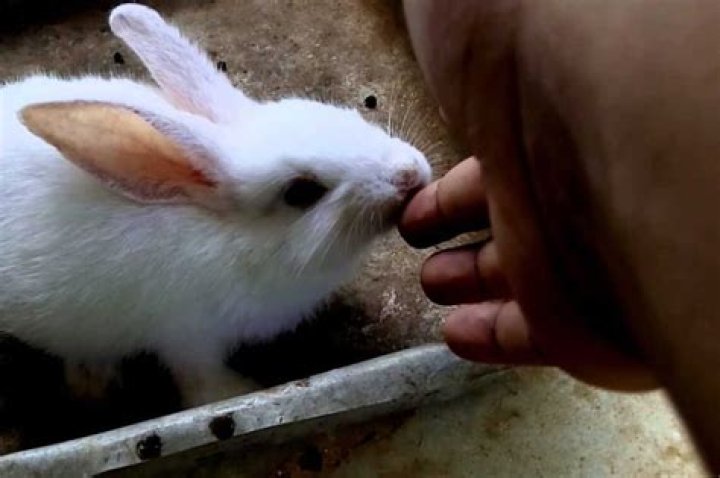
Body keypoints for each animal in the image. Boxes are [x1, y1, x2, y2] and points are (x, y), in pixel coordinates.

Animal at [0, 4, 432, 407]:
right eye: (301, 193)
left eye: (348, 113)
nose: (410, 173)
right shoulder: (188, 336)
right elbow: (201, 383)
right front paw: (242, 391)